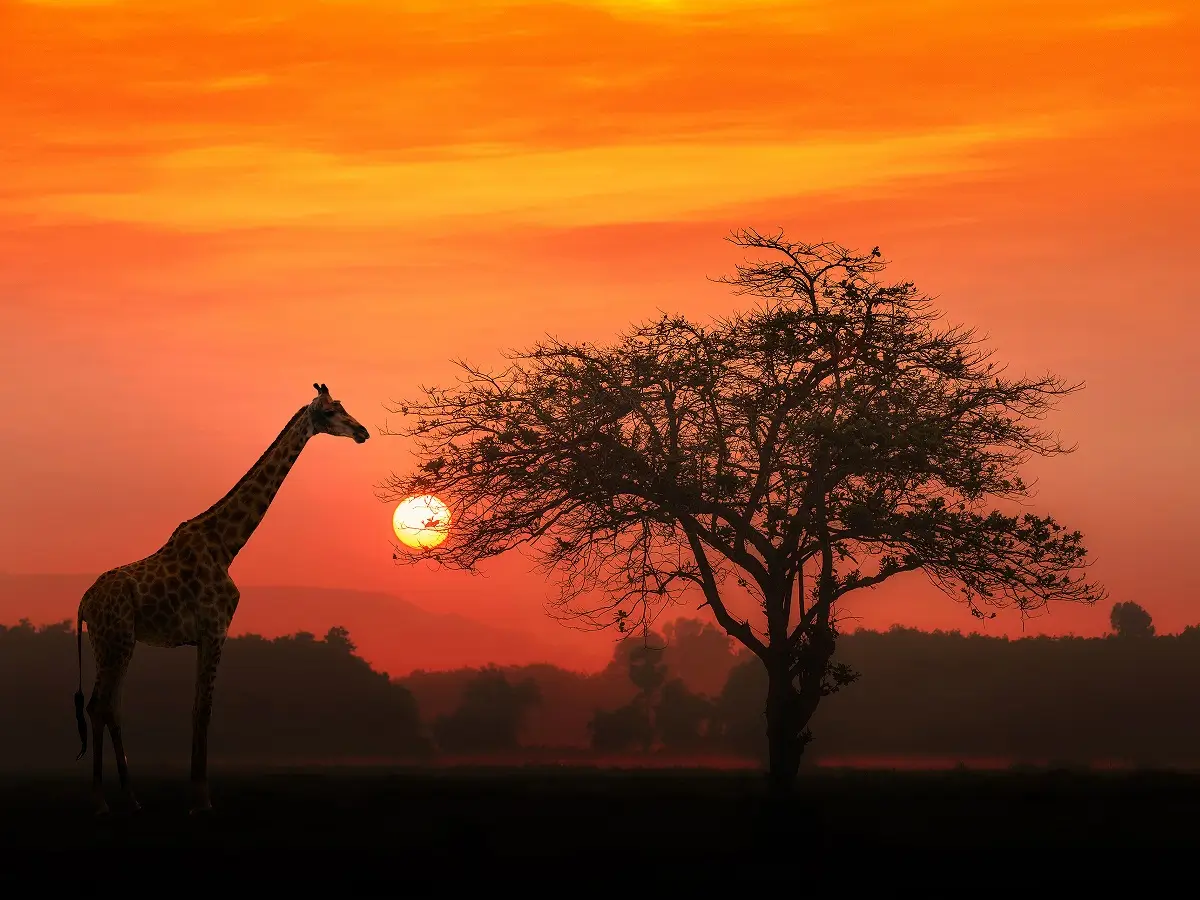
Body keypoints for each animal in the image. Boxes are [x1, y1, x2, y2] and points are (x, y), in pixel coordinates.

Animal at [72, 383, 371, 816]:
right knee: (99, 706)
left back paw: (131, 797)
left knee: (111, 707)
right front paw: (201, 799)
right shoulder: (215, 629)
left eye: (343, 406)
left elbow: (199, 708)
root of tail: (83, 603)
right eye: (330, 412)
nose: (363, 432)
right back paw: (99, 801)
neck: (228, 545)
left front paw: (197, 796)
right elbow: (203, 710)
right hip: (114, 641)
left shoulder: (206, 634)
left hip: (115, 643)